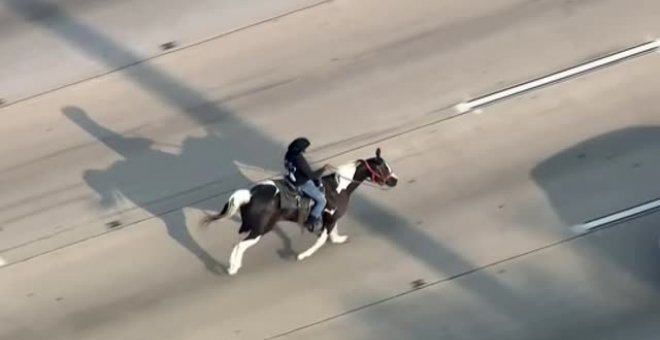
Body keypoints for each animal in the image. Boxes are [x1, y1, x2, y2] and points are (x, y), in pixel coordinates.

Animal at [200, 147, 398, 274]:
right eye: (383, 168)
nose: (395, 180)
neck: (338, 188)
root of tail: (250, 194)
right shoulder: (329, 218)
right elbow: (322, 239)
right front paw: (303, 255)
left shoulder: (331, 219)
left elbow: (333, 234)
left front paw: (339, 239)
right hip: (261, 229)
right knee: (240, 245)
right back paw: (233, 268)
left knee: (238, 244)